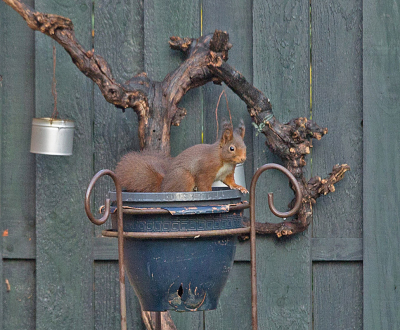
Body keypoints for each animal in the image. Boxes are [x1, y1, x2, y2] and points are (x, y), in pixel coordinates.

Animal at [115, 120, 247, 193]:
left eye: (245, 146)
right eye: (231, 148)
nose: (243, 159)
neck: (225, 160)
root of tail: (163, 187)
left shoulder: (227, 173)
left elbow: (230, 181)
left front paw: (239, 187)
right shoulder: (205, 169)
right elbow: (203, 183)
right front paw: (209, 193)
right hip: (184, 177)